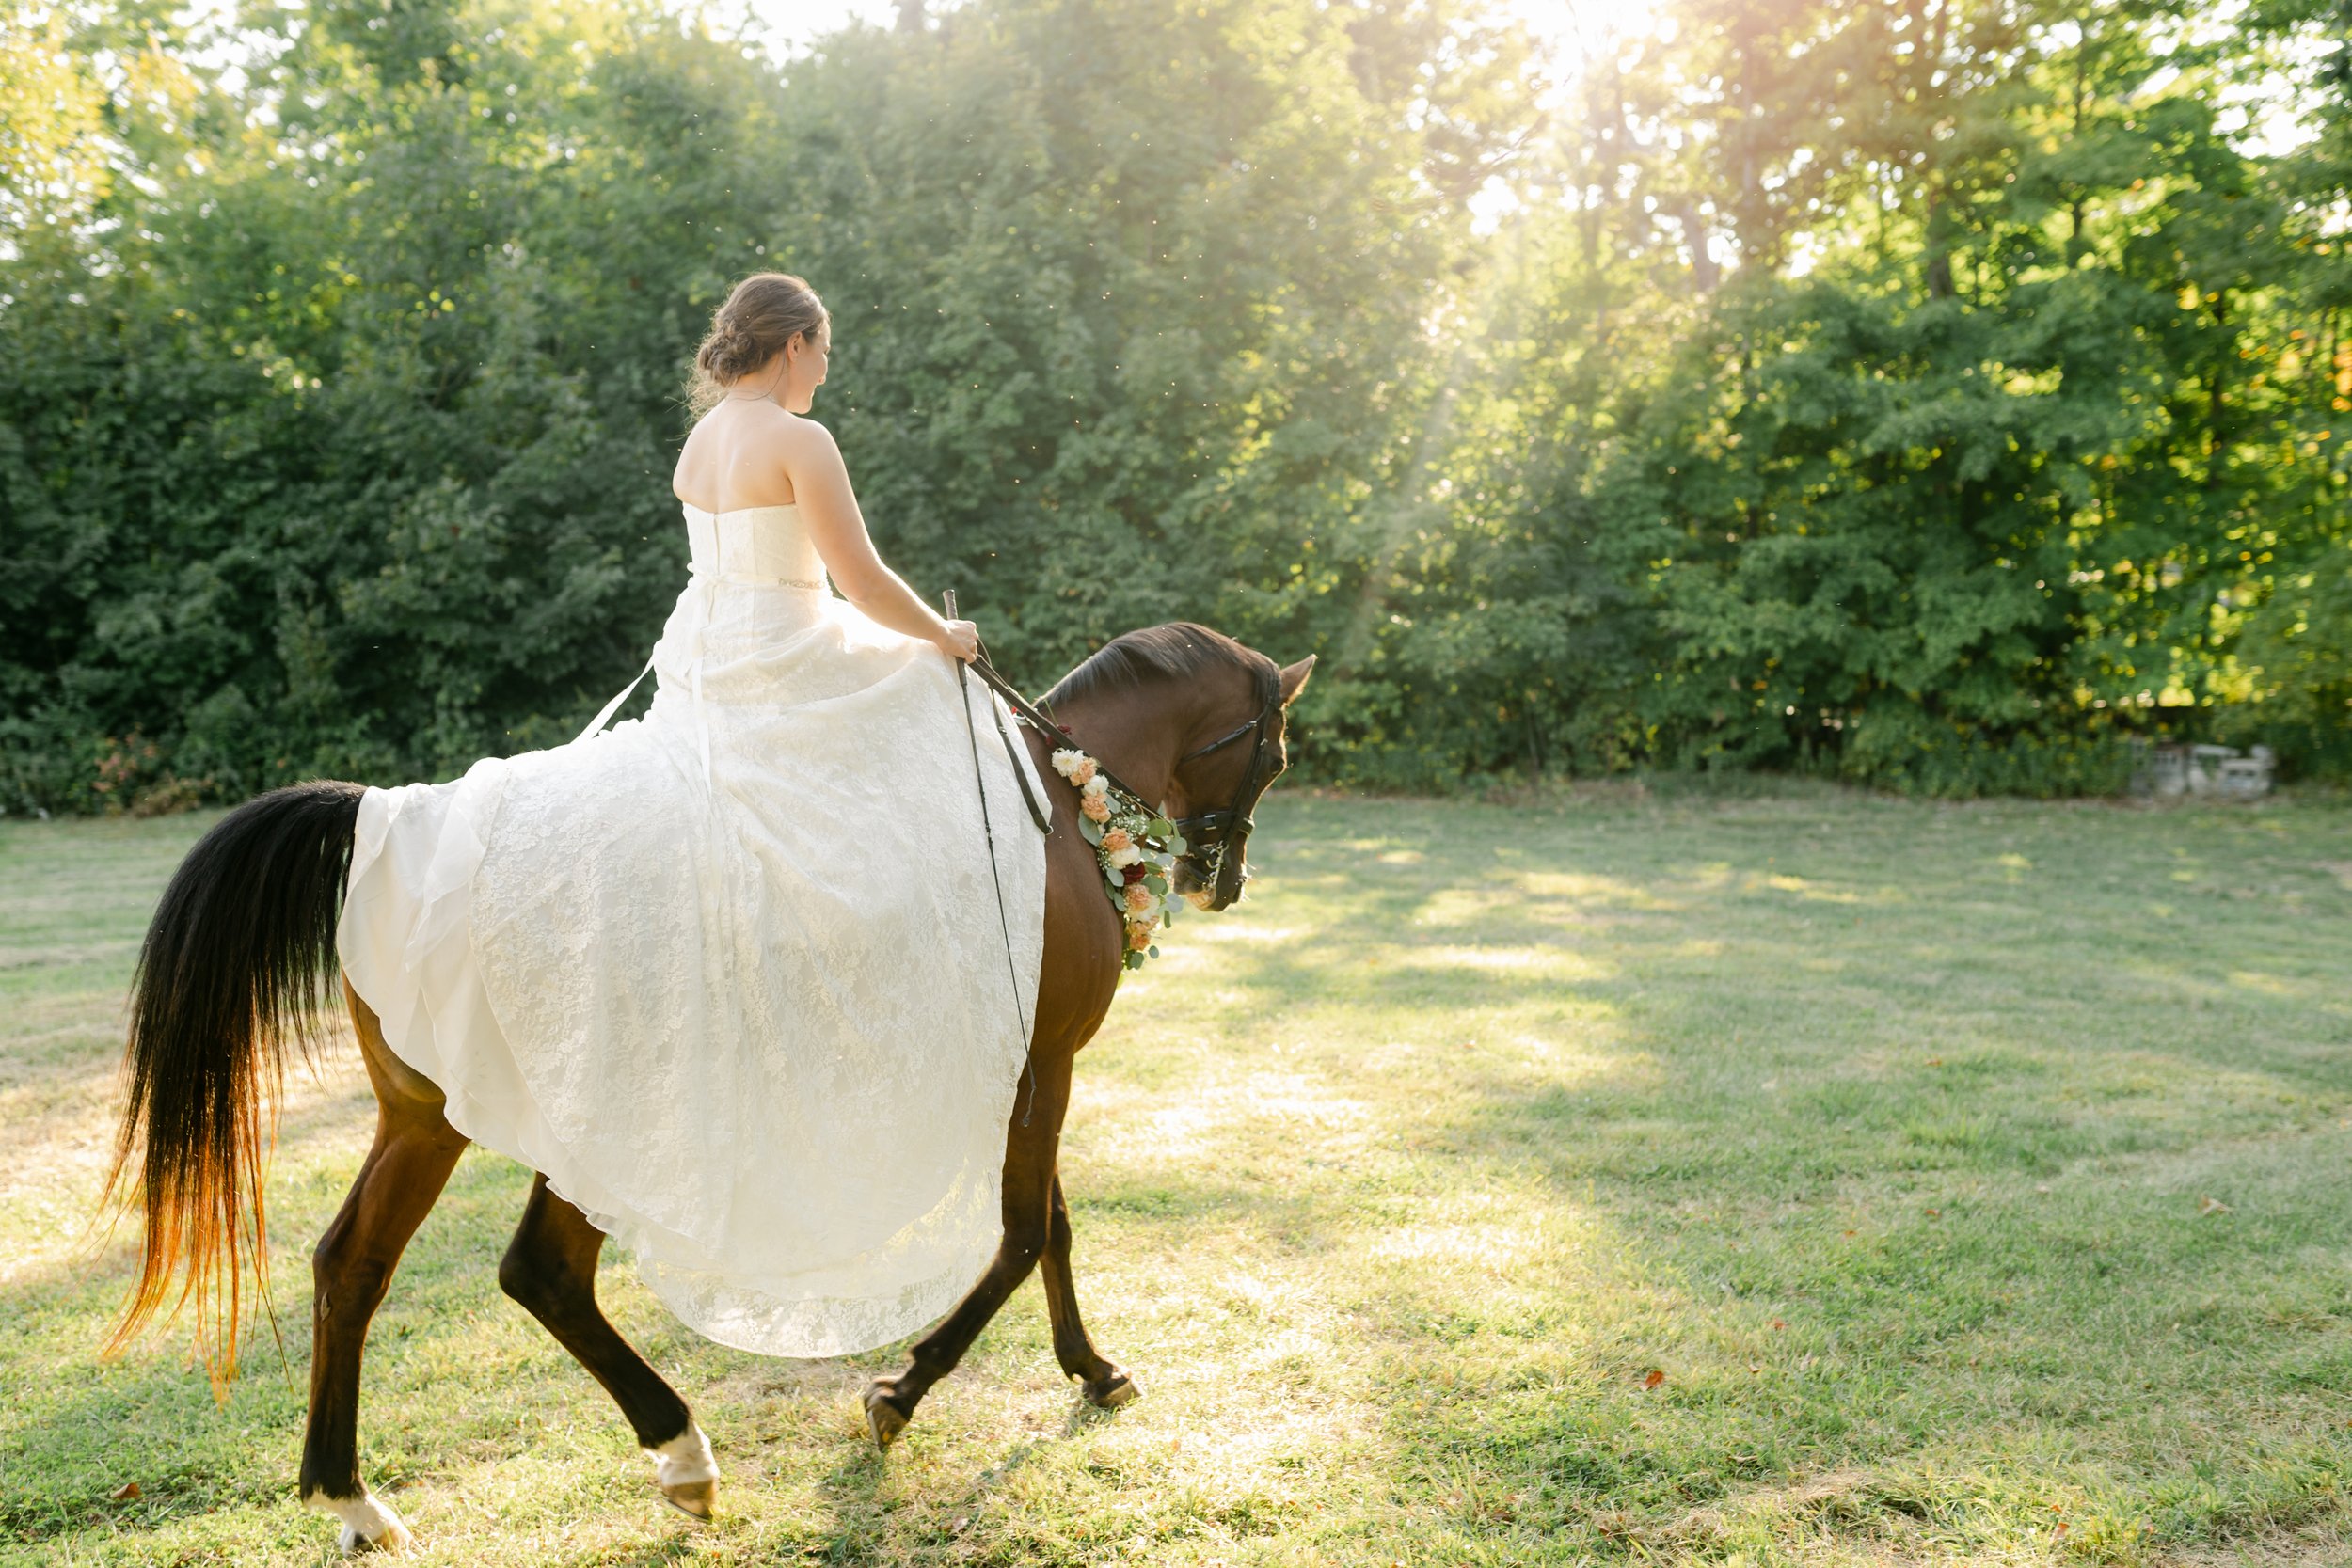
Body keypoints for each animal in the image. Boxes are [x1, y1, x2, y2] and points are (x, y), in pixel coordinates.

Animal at [105, 620, 1308, 1551]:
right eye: (1277, 755)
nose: (1228, 880)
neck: (1059, 809)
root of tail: (390, 823)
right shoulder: (1043, 1062)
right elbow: (1019, 1235)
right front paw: (902, 1391)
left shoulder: (1024, 1064)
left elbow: (1049, 1223)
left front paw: (1089, 1368)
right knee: (541, 1270)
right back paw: (680, 1449)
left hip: (425, 1120)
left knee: (350, 1265)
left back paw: (352, 1499)